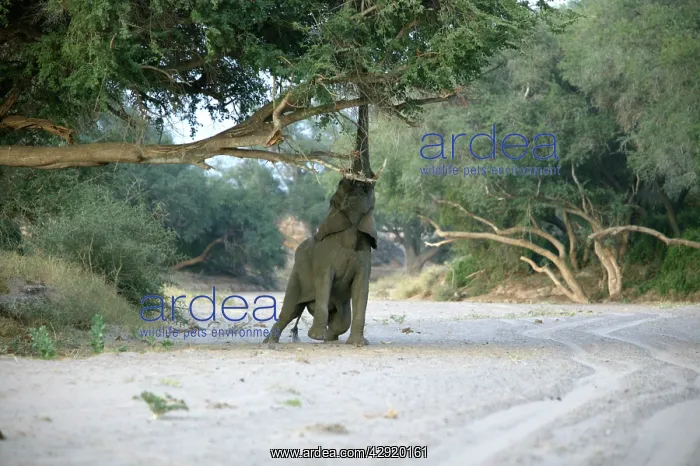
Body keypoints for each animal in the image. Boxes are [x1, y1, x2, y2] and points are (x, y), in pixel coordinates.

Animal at [263, 177, 378, 346]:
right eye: (341, 185)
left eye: (368, 189)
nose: (358, 180)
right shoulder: (325, 256)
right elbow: (324, 282)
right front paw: (316, 337)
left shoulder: (365, 255)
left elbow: (361, 288)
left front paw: (359, 343)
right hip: (297, 275)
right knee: (290, 311)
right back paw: (270, 342)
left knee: (342, 322)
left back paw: (329, 339)